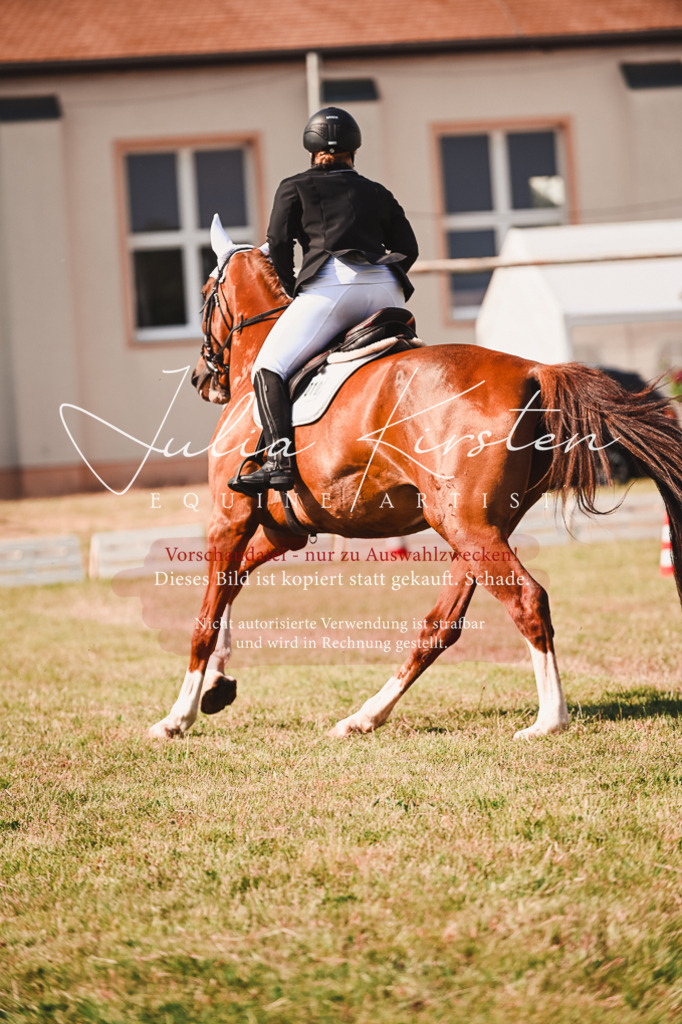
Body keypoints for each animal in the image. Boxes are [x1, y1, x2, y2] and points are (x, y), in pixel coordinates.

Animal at [149, 219, 682, 742]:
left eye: (204, 293)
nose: (200, 379)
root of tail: (533, 370)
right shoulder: (284, 530)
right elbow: (231, 588)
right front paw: (217, 685)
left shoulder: (230, 517)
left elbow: (206, 615)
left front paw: (179, 716)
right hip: (476, 528)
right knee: (442, 624)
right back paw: (364, 716)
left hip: (468, 527)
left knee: (527, 600)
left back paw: (549, 720)